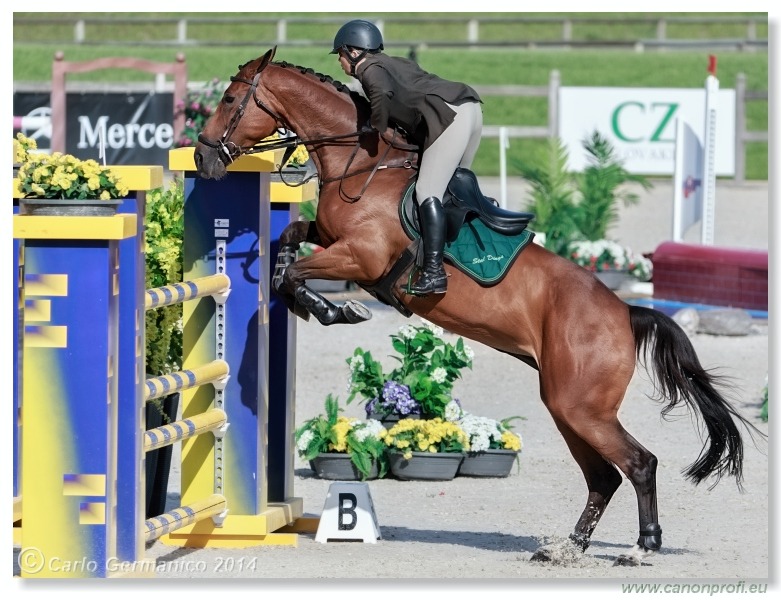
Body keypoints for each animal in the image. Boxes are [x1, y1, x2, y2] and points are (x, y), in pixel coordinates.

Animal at [192, 48, 760, 568]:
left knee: (639, 463)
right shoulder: (332, 240)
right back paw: (565, 547)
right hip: (568, 407)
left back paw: (643, 546)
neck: (363, 163)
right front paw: (314, 302)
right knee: (602, 476)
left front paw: (334, 310)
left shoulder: (360, 256)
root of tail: (625, 312)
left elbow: (294, 272)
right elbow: (290, 242)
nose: (202, 159)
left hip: (581, 407)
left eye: (229, 100)